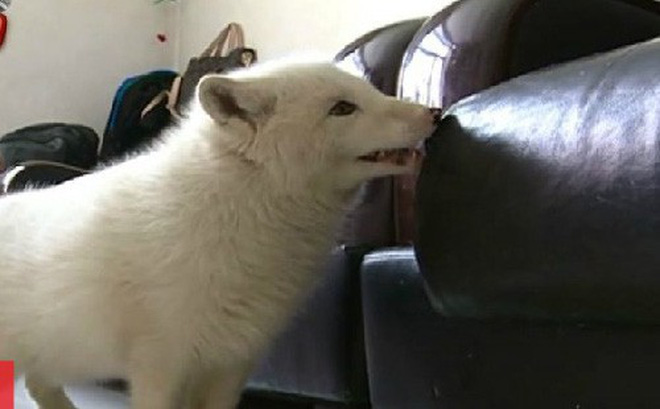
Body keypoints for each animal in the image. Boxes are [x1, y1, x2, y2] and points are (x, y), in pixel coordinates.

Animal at [0, 59, 439, 409]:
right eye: (342, 108)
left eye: (368, 91)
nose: (434, 112)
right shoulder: (160, 365)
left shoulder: (231, 363)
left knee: (39, 385)